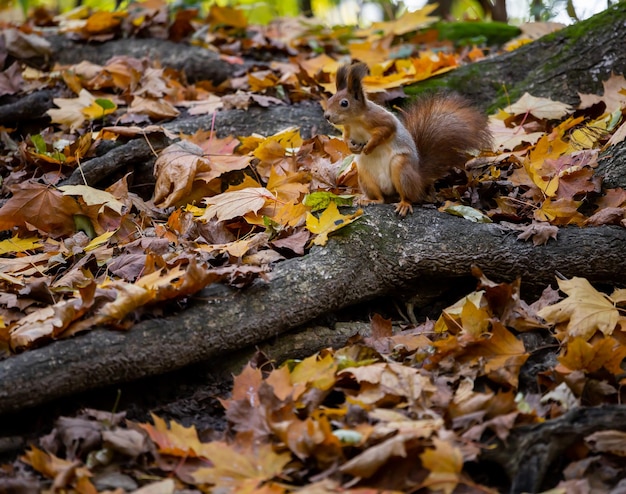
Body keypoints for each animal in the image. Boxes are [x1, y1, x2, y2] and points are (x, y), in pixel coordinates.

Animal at [324, 62, 490, 216]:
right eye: (330, 99)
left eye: (344, 103)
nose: (327, 116)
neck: (355, 121)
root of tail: (419, 180)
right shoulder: (348, 129)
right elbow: (345, 138)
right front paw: (352, 147)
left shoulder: (380, 119)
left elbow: (386, 130)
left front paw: (369, 147)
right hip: (365, 176)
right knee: (381, 199)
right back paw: (369, 200)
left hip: (401, 168)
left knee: (408, 196)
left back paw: (404, 204)